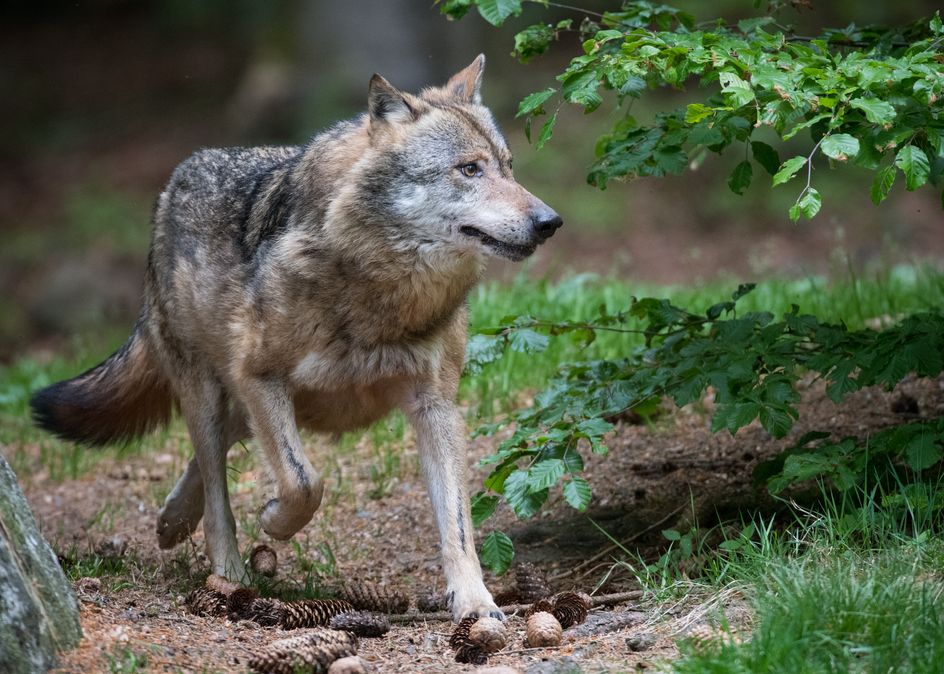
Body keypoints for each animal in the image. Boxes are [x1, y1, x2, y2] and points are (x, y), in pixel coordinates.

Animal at [29, 56, 560, 620]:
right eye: (468, 169)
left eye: (508, 166)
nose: (549, 221)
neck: (380, 295)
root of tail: (175, 180)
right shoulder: (259, 377)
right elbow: (304, 482)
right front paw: (274, 520)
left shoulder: (436, 407)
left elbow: (458, 525)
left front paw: (476, 604)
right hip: (210, 392)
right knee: (217, 491)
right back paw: (228, 574)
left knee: (216, 455)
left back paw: (173, 520)